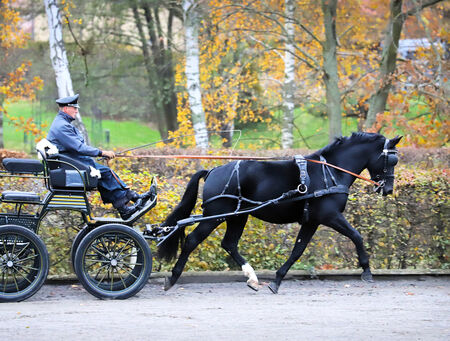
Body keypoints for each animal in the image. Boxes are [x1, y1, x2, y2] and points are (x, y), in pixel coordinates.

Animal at [157, 133, 400, 292]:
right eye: (392, 159)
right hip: (217, 215)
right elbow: (356, 236)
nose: (388, 189)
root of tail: (213, 170)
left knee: (229, 244)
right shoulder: (329, 216)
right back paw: (173, 277)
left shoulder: (311, 221)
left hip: (239, 216)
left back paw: (252, 277)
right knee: (192, 240)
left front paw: (277, 280)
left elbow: (297, 250)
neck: (330, 172)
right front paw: (366, 270)